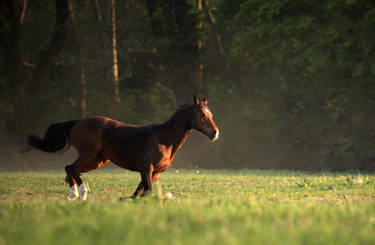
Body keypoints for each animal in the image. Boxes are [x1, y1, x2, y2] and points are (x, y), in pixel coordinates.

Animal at [27, 94, 220, 200]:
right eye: (202, 114)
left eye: (211, 114)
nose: (215, 133)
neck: (164, 140)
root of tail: (77, 122)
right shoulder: (146, 168)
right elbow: (146, 191)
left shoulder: (154, 173)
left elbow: (139, 192)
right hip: (88, 154)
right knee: (72, 168)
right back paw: (80, 194)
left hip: (97, 161)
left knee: (71, 169)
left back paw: (73, 195)